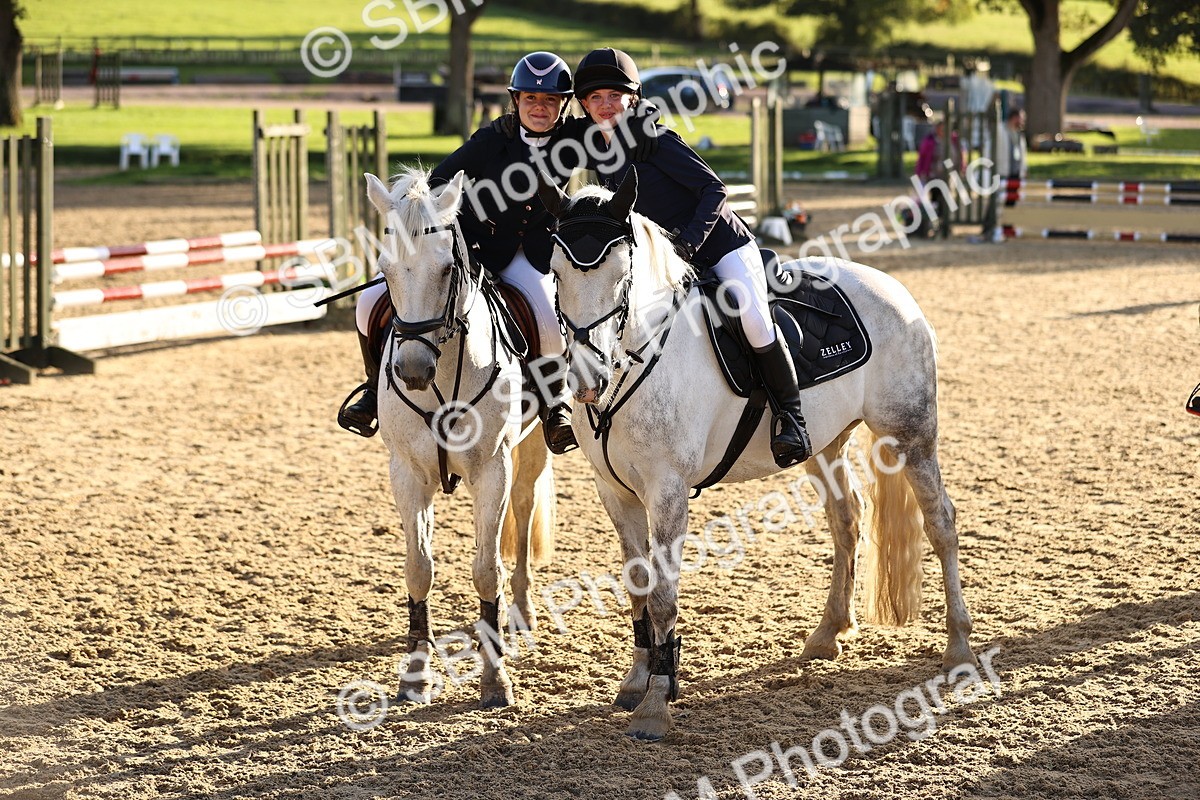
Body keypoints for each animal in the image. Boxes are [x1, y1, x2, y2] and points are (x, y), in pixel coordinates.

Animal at [364, 167, 555, 707]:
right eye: (385, 268)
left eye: (448, 269)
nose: (411, 370)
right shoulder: (407, 473)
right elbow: (418, 567)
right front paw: (415, 674)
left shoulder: (492, 468)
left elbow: (486, 567)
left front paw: (495, 677)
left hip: (531, 445)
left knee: (524, 507)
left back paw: (521, 612)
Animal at [537, 170, 974, 740]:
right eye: (556, 273)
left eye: (622, 274)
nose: (588, 379)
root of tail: (893, 288)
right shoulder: (614, 491)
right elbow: (638, 584)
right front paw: (637, 681)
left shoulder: (668, 490)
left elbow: (663, 595)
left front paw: (657, 702)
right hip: (824, 445)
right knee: (847, 521)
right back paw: (828, 633)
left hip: (910, 437)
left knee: (940, 522)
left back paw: (959, 647)